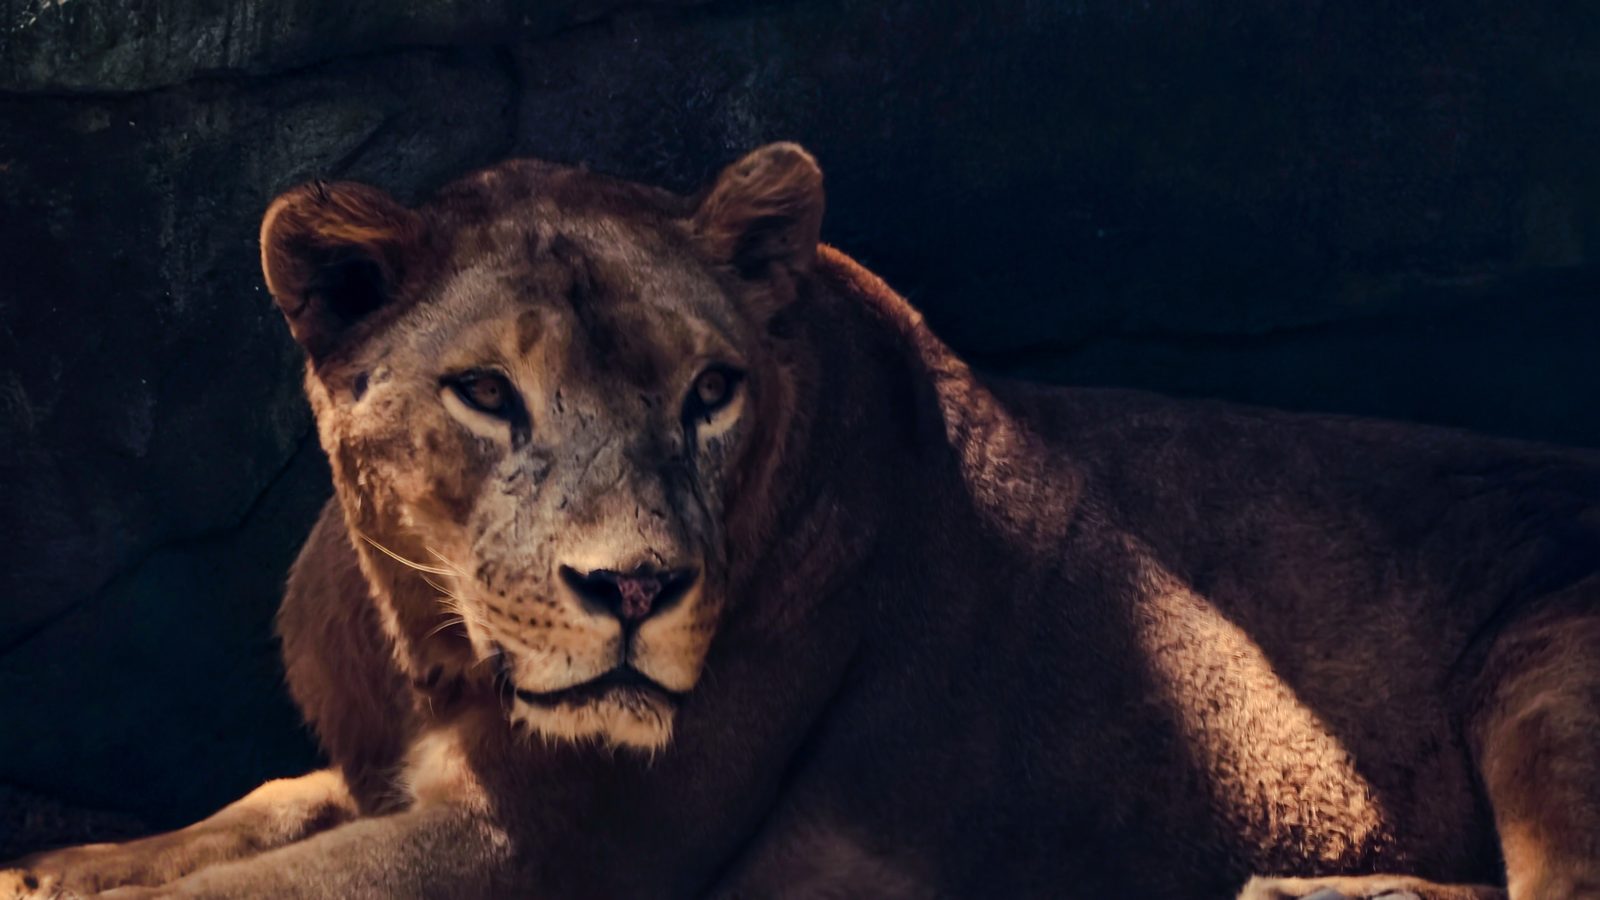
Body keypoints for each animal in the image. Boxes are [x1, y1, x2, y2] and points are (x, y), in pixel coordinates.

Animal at [5, 142, 1598, 899]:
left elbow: (255, 892)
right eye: (486, 393)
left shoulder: (564, 849)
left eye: (710, 391)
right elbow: (261, 810)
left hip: (1549, 659)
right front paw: (62, 862)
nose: (636, 590)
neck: (431, 649)